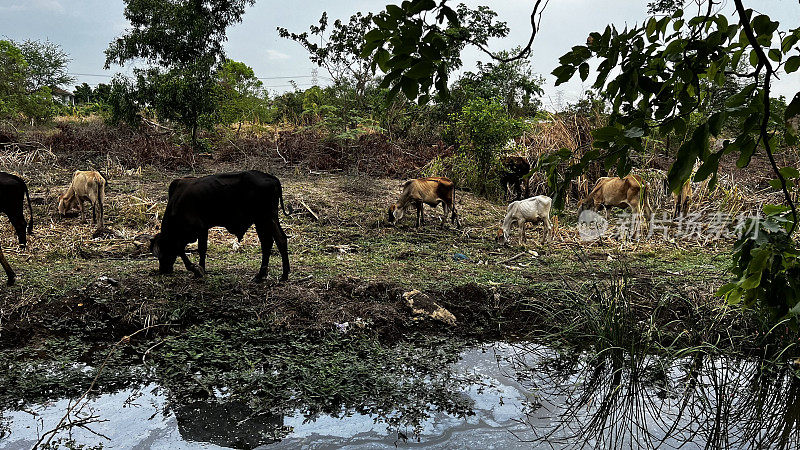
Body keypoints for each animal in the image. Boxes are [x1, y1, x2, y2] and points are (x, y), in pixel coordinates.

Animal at [148, 171, 290, 282]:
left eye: (162, 252)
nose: (163, 270)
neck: (176, 203)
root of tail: (272, 178)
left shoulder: (197, 228)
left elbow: (185, 249)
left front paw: (196, 269)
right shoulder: (203, 229)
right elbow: (200, 249)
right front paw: (202, 269)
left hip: (263, 219)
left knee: (268, 243)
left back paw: (262, 275)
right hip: (269, 218)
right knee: (280, 240)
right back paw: (282, 274)